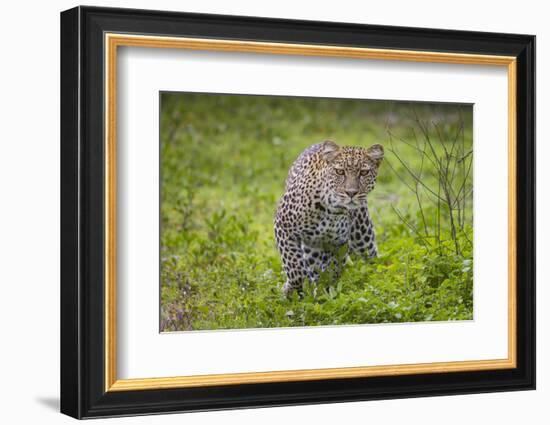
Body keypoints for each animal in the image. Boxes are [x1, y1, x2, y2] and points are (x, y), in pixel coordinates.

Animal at [274, 139, 384, 294]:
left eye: (364, 172)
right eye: (340, 171)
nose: (351, 192)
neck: (331, 209)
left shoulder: (338, 243)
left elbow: (333, 270)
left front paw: (326, 290)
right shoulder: (283, 226)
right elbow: (294, 267)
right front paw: (291, 290)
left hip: (362, 238)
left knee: (370, 258)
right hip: (312, 245)